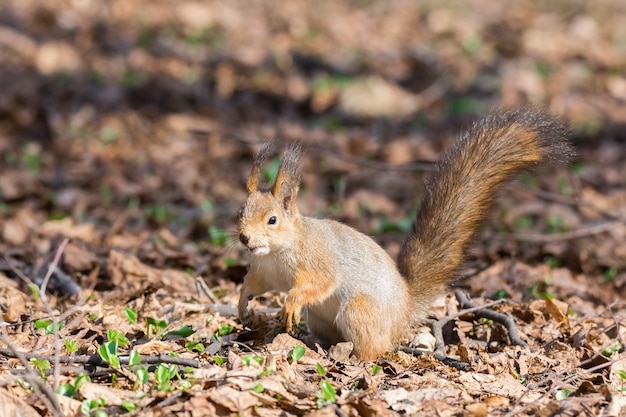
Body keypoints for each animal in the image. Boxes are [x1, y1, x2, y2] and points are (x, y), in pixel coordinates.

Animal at [234, 109, 572, 360]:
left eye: (272, 220)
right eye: (240, 212)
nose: (244, 239)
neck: (279, 252)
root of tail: (404, 310)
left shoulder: (318, 261)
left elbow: (319, 283)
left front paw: (290, 303)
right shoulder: (266, 272)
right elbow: (254, 284)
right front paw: (242, 305)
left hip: (358, 311)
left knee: (376, 348)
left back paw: (351, 356)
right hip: (321, 318)